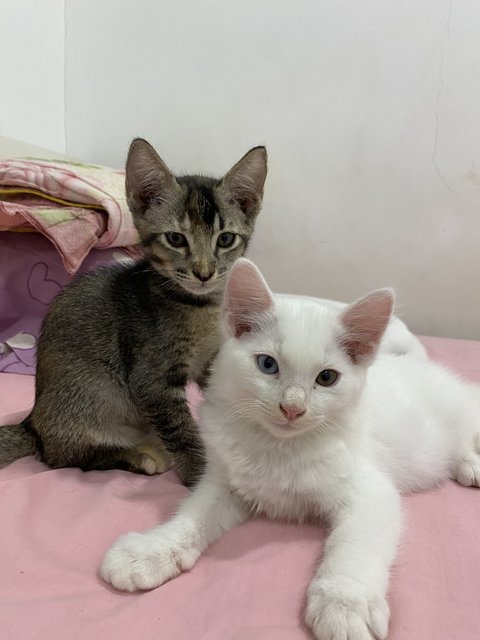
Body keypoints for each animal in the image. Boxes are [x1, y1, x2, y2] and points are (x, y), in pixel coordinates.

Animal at [0, 138, 268, 482]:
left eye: (226, 239)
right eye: (176, 238)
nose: (204, 273)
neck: (200, 307)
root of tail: (32, 423)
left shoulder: (210, 362)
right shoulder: (151, 379)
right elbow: (181, 432)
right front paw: (199, 476)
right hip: (90, 395)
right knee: (66, 457)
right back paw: (139, 457)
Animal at [99, 260, 478, 640]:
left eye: (327, 378)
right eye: (267, 364)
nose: (292, 408)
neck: (278, 446)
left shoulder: (371, 494)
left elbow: (356, 546)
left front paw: (344, 603)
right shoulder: (226, 482)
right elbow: (193, 516)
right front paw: (151, 551)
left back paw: (471, 462)